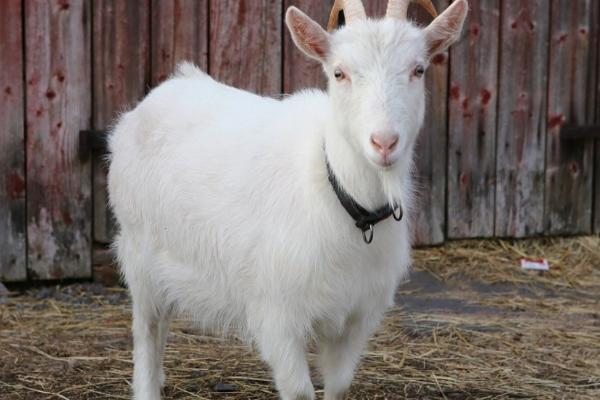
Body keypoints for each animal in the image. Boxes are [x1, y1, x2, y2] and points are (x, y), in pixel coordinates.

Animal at [108, 1, 466, 398]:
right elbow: (298, 390)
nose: (384, 142)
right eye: (339, 73)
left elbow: (339, 386)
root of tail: (169, 87)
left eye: (418, 70)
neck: (339, 198)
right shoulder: (277, 315)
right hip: (138, 250)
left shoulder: (356, 317)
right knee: (148, 330)